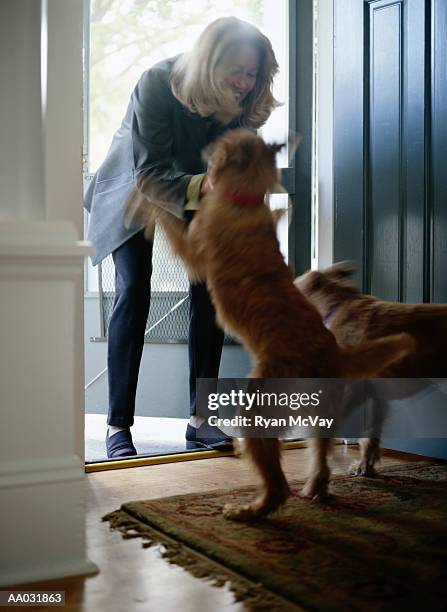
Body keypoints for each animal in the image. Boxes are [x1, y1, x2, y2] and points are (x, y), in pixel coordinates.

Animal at [133, 130, 416, 520]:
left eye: (223, 141)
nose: (205, 146)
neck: (245, 197)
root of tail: (333, 354)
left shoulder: (192, 255)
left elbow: (166, 219)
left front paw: (145, 204)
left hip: (256, 409)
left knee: (277, 484)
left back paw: (251, 510)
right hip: (318, 416)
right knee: (321, 458)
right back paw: (316, 490)